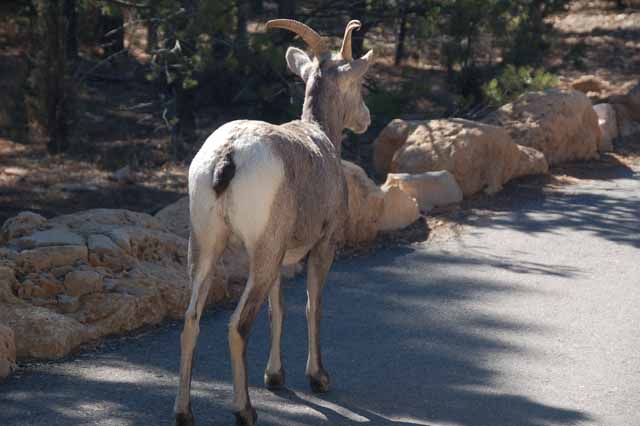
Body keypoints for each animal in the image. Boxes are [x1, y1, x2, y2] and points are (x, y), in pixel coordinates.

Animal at [175, 18, 376, 424]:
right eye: (359, 84)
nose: (367, 119)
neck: (321, 139)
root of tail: (228, 156)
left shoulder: (282, 255)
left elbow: (277, 309)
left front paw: (275, 376)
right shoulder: (323, 246)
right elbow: (313, 306)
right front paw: (318, 378)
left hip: (206, 246)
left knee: (191, 320)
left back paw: (184, 413)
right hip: (260, 256)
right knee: (238, 325)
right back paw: (245, 410)